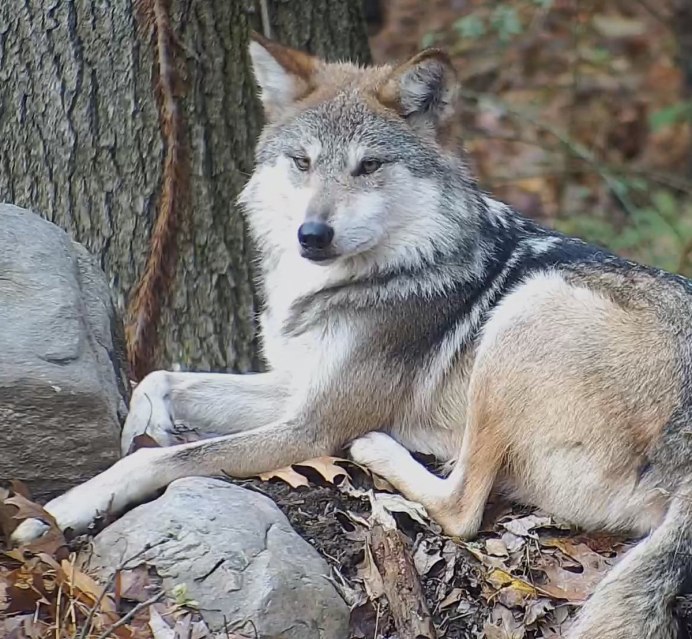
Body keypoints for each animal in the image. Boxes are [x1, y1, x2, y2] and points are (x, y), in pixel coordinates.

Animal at [12, 31, 692, 639]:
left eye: (369, 166)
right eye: (303, 162)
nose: (312, 235)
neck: (363, 276)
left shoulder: (314, 424)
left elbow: (160, 458)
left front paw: (61, 509)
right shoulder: (294, 387)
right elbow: (158, 379)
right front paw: (137, 427)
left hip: (526, 311)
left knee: (463, 508)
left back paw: (378, 449)